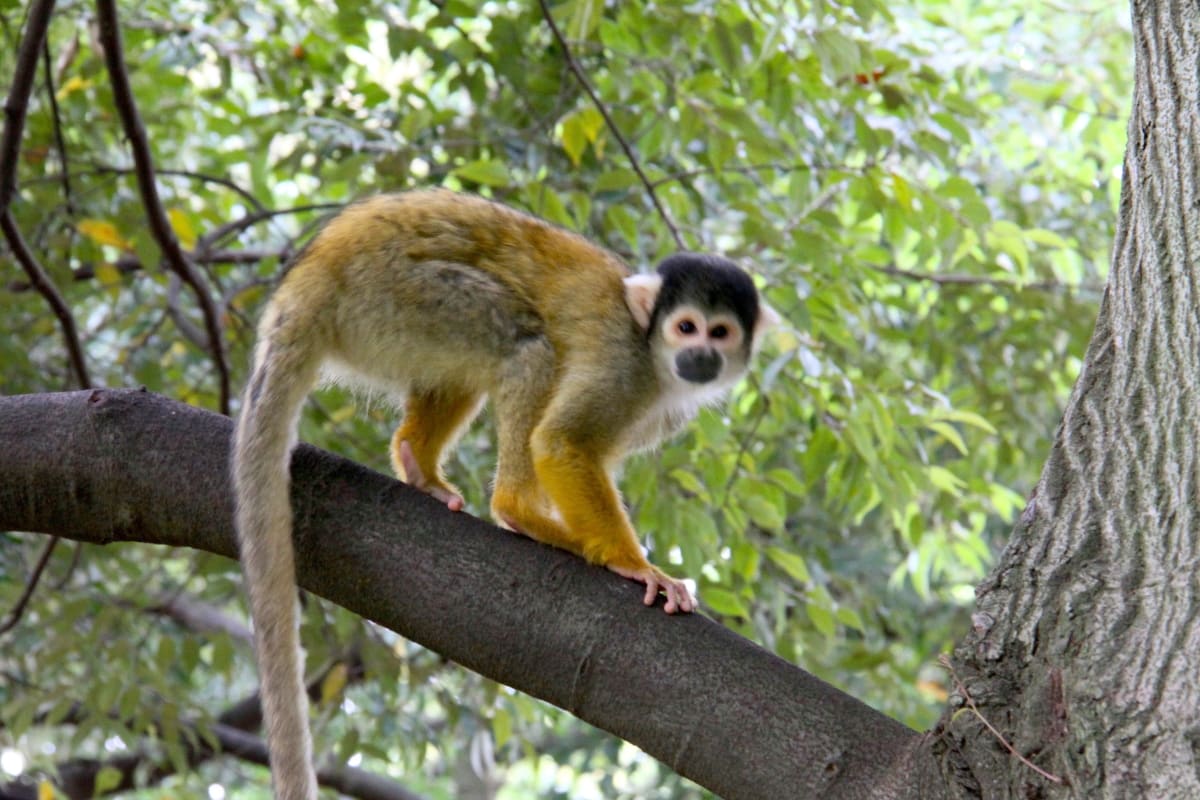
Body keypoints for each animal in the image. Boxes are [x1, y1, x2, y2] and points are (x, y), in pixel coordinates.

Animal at [231, 189, 777, 800]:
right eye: (686, 327)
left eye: (719, 333)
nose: (700, 356)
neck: (655, 358)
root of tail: (309, 280)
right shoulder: (624, 365)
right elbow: (562, 443)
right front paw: (635, 565)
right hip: (397, 298)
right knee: (526, 345)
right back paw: (517, 510)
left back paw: (417, 460)